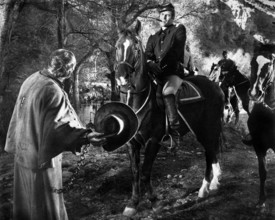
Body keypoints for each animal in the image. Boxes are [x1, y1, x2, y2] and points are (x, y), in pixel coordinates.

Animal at [114, 20, 224, 217]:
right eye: (117, 46)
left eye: (136, 47)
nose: (122, 77)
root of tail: (215, 85)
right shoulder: (132, 143)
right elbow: (135, 173)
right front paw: (133, 203)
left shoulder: (154, 140)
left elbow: (145, 171)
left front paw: (154, 201)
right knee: (210, 152)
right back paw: (208, 186)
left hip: (208, 128)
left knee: (210, 152)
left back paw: (208, 186)